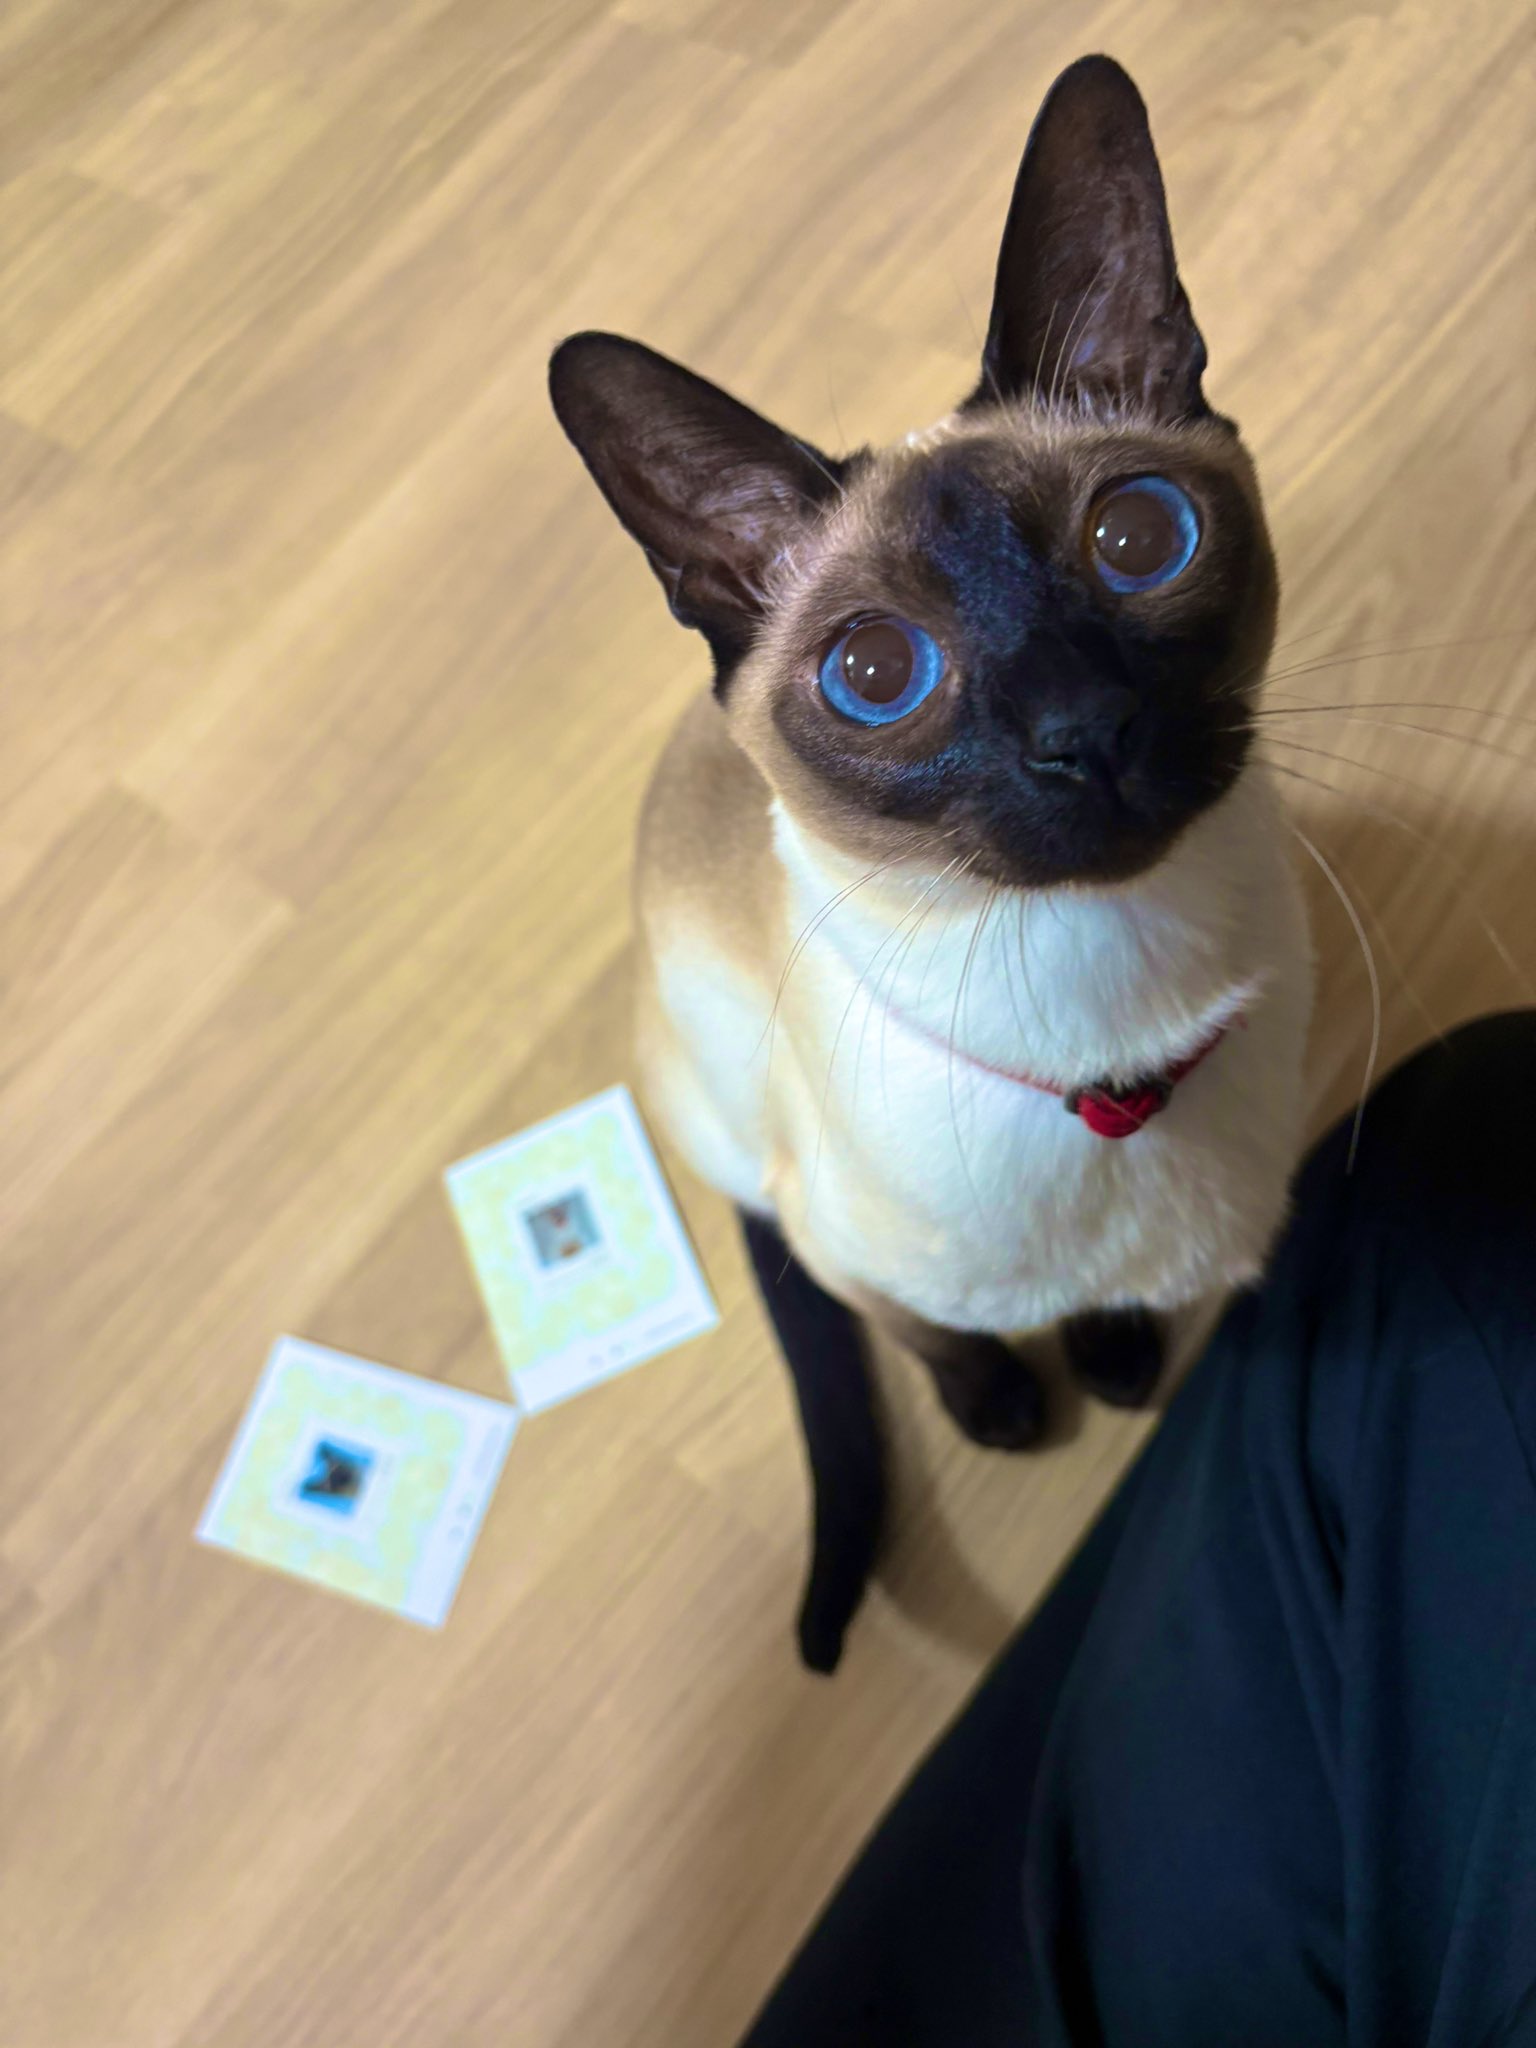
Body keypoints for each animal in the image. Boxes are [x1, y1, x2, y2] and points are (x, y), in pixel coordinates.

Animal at [550, 54, 1312, 1671]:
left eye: (1140, 538)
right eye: (877, 672)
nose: (1082, 731)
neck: (1110, 1049)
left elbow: (1109, 1304)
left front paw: (1118, 1357)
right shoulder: (846, 1248)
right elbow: (929, 1330)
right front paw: (1013, 1404)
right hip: (723, 1113)